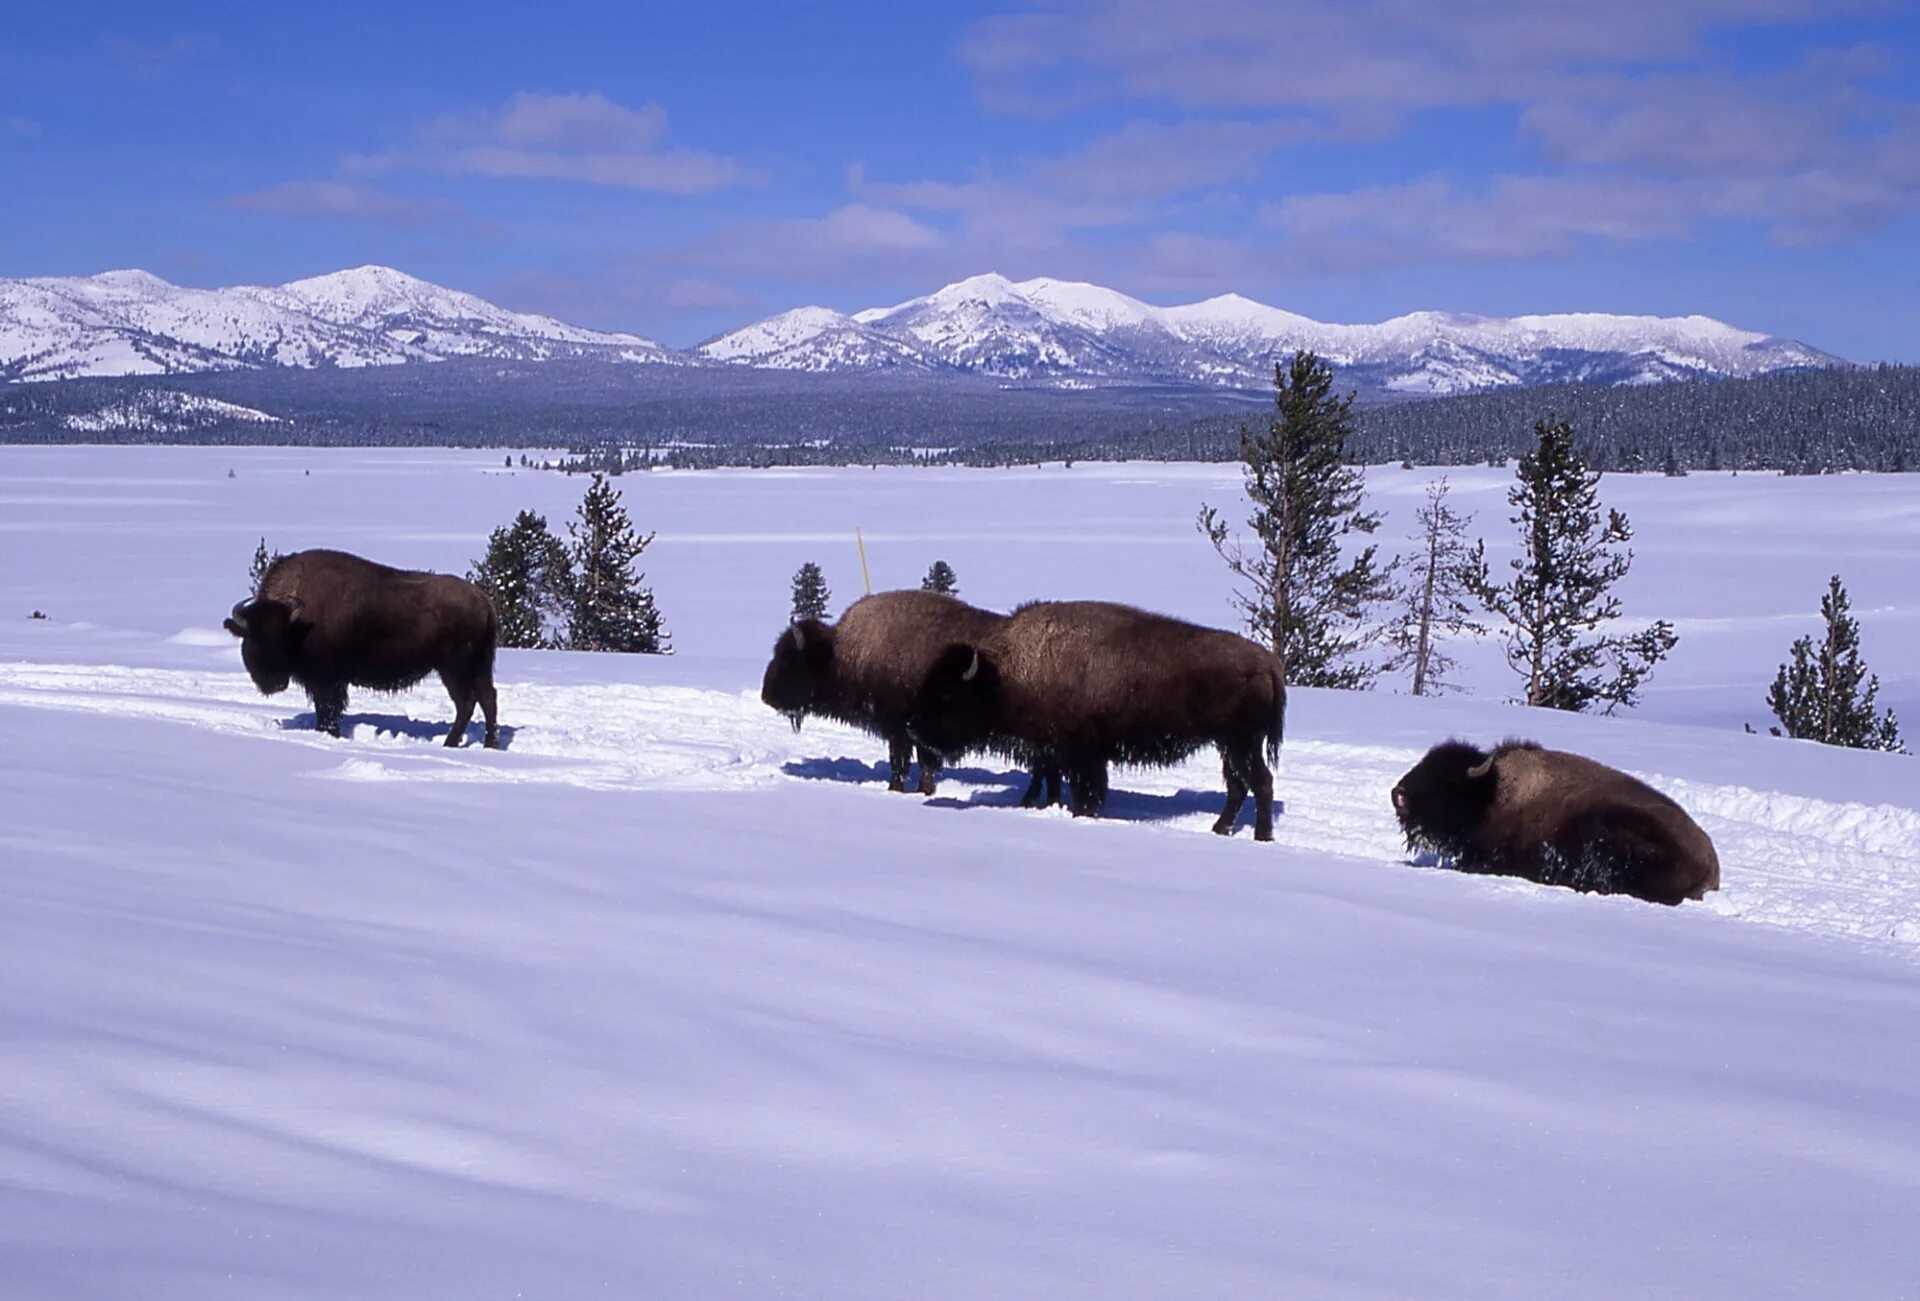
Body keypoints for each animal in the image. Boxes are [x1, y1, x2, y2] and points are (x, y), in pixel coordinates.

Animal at [222, 552, 503, 756]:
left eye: (282, 638)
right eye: (254, 639)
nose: (275, 683)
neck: (298, 624)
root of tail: (483, 601)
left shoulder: (327, 680)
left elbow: (327, 708)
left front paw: (329, 733)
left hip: (453, 668)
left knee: (467, 701)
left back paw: (450, 743)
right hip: (480, 664)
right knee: (487, 697)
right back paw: (490, 744)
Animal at [756, 591, 1059, 805]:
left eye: (788, 660)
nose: (766, 696)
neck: (842, 654)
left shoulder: (900, 728)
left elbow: (903, 761)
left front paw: (901, 789)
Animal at [902, 602, 1290, 844]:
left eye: (947, 693)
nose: (912, 727)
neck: (1006, 673)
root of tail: (1267, 663)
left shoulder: (1081, 754)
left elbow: (1083, 789)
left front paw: (1080, 813)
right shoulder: (1060, 751)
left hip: (1241, 742)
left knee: (1260, 782)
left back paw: (1261, 836)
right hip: (1229, 745)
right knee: (1238, 786)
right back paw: (1219, 828)